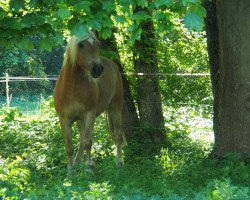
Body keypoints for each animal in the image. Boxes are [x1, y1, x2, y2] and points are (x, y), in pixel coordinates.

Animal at [53, 31, 126, 170]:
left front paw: (88, 167)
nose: (98, 69)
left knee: (118, 135)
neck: (72, 88)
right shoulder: (64, 119)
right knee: (81, 139)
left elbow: (88, 141)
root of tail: (113, 64)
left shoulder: (89, 114)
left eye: (98, 44)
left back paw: (119, 161)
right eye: (81, 45)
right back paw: (77, 162)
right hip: (80, 120)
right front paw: (70, 170)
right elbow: (69, 146)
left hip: (116, 108)